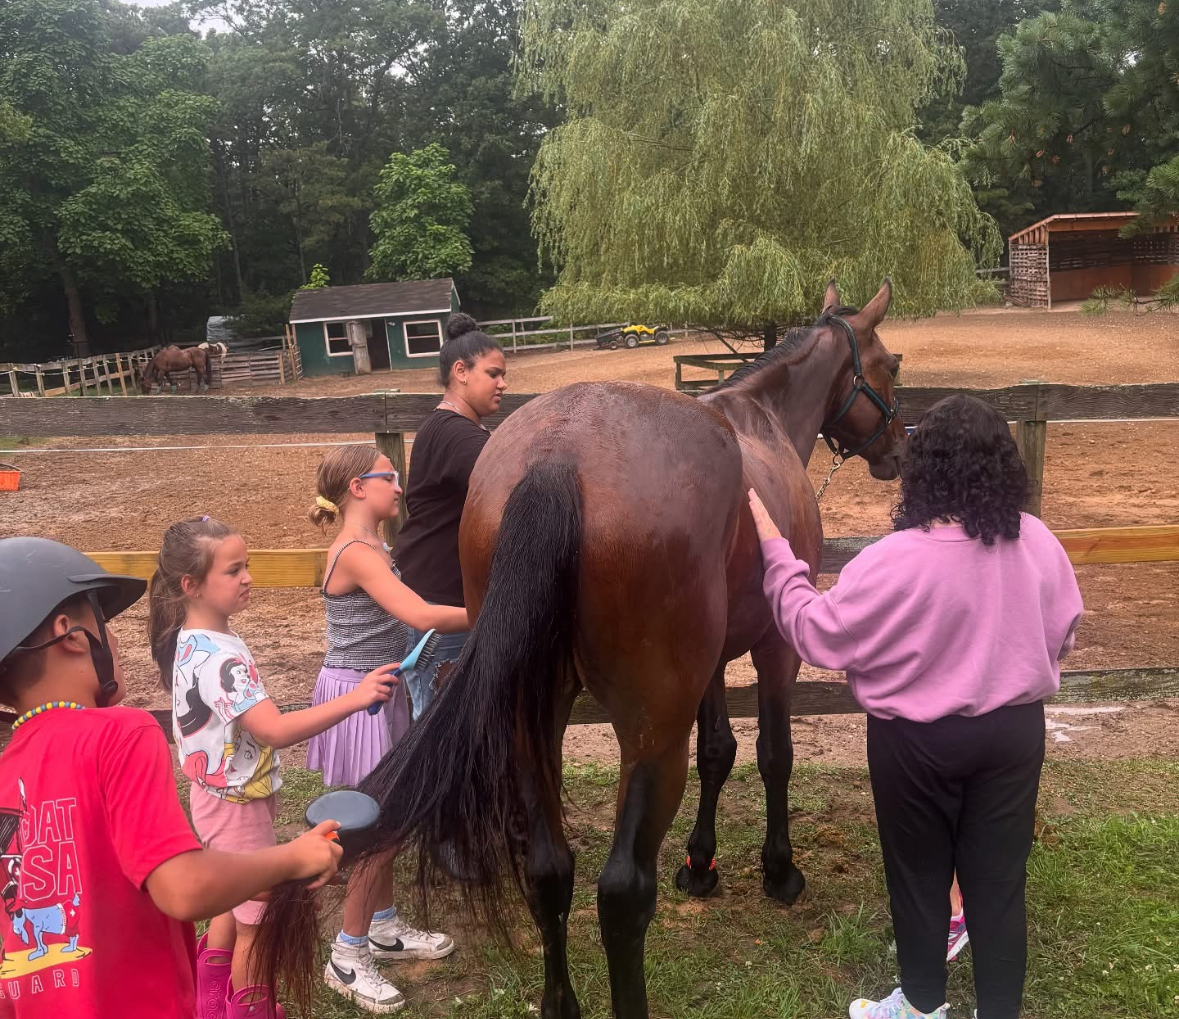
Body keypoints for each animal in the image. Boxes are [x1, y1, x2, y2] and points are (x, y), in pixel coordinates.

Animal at [256, 280, 905, 1018]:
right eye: (891, 363)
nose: (898, 448)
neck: (760, 419)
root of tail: (559, 459)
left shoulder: (709, 666)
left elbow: (718, 752)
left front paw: (700, 864)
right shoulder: (774, 649)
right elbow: (773, 755)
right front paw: (778, 869)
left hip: (532, 720)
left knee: (548, 869)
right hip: (649, 731)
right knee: (621, 891)